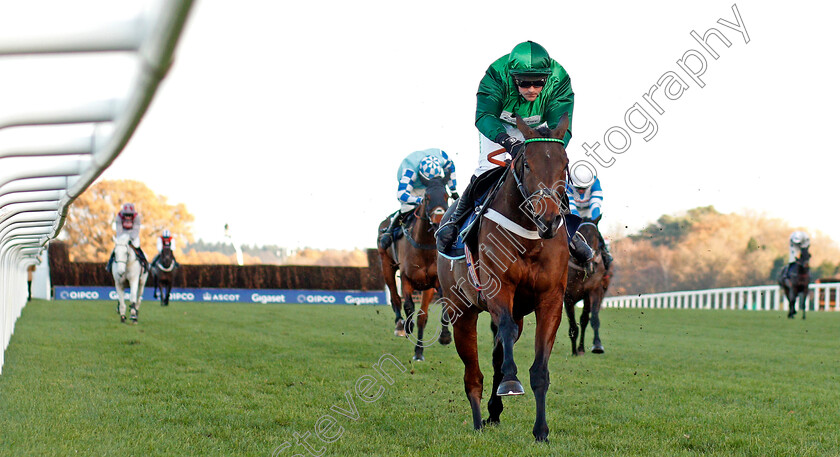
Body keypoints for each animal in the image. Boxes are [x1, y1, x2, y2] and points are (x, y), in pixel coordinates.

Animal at [378, 175, 452, 360]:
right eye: (427, 197)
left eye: (446, 196)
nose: (439, 221)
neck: (423, 245)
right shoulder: (406, 278)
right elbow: (408, 305)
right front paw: (407, 326)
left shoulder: (434, 282)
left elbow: (426, 315)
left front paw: (441, 338)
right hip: (386, 265)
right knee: (395, 298)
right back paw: (399, 326)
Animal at [440, 115, 572, 442]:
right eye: (526, 164)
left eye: (564, 163)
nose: (548, 219)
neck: (530, 237)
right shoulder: (498, 288)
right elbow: (505, 334)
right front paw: (511, 382)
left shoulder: (550, 299)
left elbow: (539, 370)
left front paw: (541, 431)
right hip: (461, 311)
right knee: (473, 374)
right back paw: (477, 422)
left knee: (499, 351)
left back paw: (493, 411)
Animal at [564, 218, 612, 356]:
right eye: (579, 233)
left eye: (596, 236)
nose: (590, 257)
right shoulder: (567, 296)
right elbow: (573, 325)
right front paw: (574, 351)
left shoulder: (594, 291)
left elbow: (593, 319)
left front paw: (597, 345)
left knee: (584, 320)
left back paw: (581, 348)